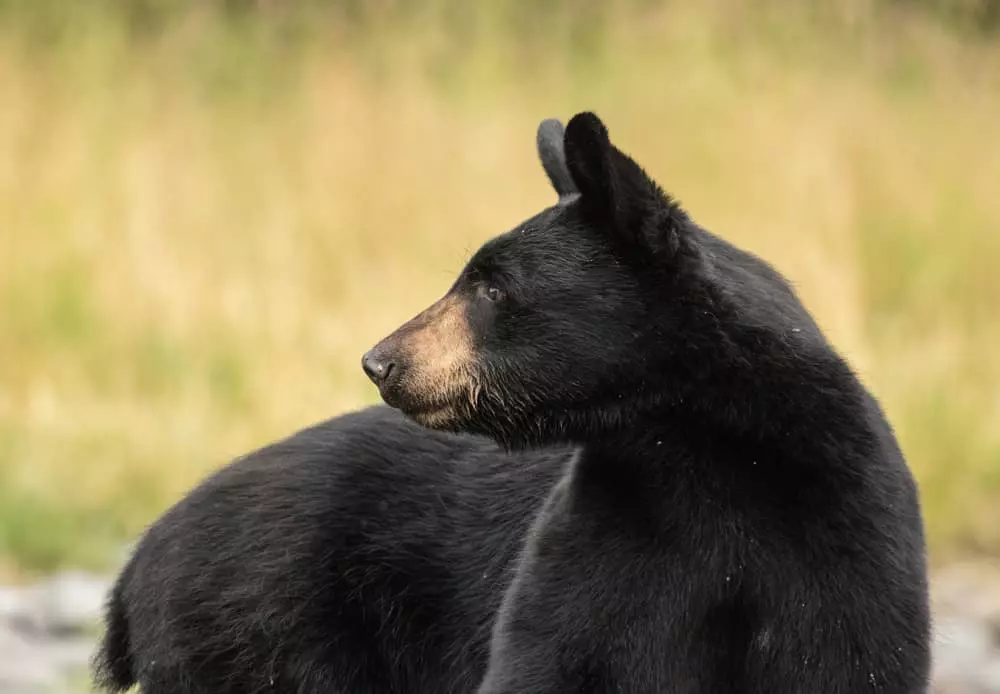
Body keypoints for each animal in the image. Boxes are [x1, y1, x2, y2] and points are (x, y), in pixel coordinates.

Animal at [364, 111, 932, 692]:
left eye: (494, 289)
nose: (380, 362)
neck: (702, 443)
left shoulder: (843, 541)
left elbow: (844, 660)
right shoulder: (611, 526)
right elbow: (555, 653)